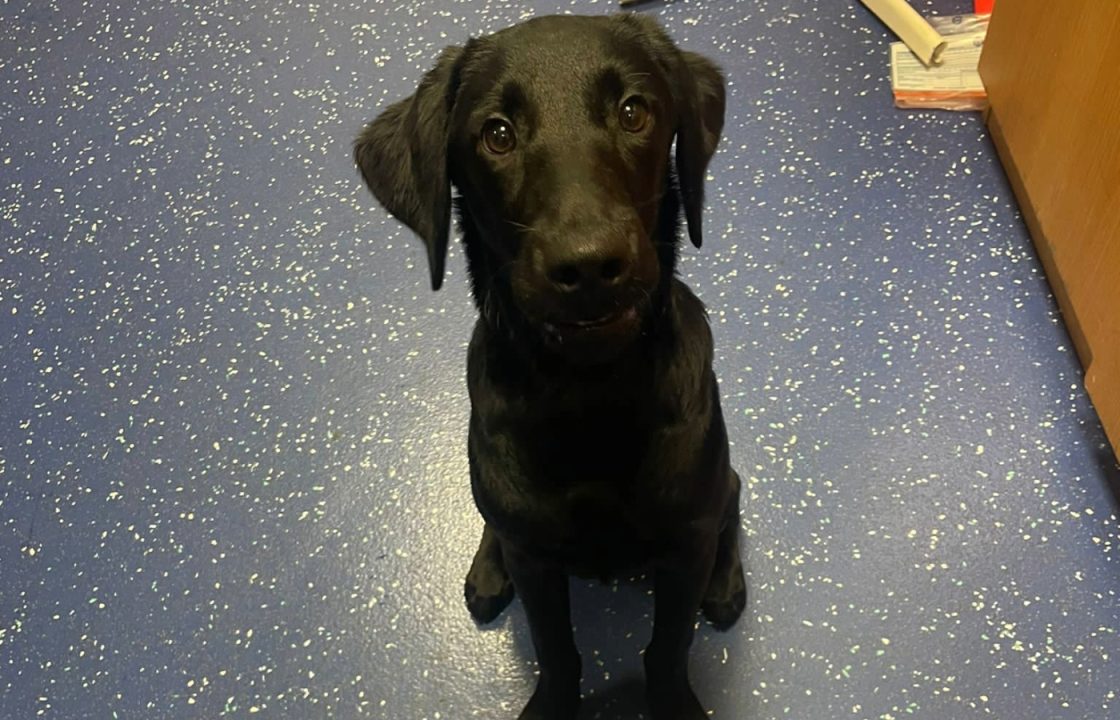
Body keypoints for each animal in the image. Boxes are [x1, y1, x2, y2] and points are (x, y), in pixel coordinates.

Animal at [353, 12, 748, 720]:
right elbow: (556, 648)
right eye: (497, 134)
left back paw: (727, 583)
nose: (588, 265)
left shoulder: (684, 546)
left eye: (634, 111)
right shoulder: (536, 562)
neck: (590, 399)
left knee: (731, 499)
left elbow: (667, 648)